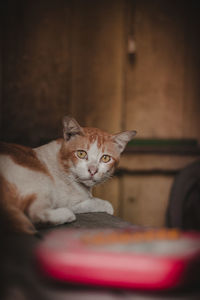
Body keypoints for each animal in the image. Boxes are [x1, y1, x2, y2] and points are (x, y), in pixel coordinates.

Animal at [0, 116, 136, 233]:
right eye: (81, 154)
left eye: (105, 158)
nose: (92, 170)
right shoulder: (64, 200)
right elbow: (89, 202)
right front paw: (104, 204)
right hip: (40, 179)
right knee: (36, 214)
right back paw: (67, 215)